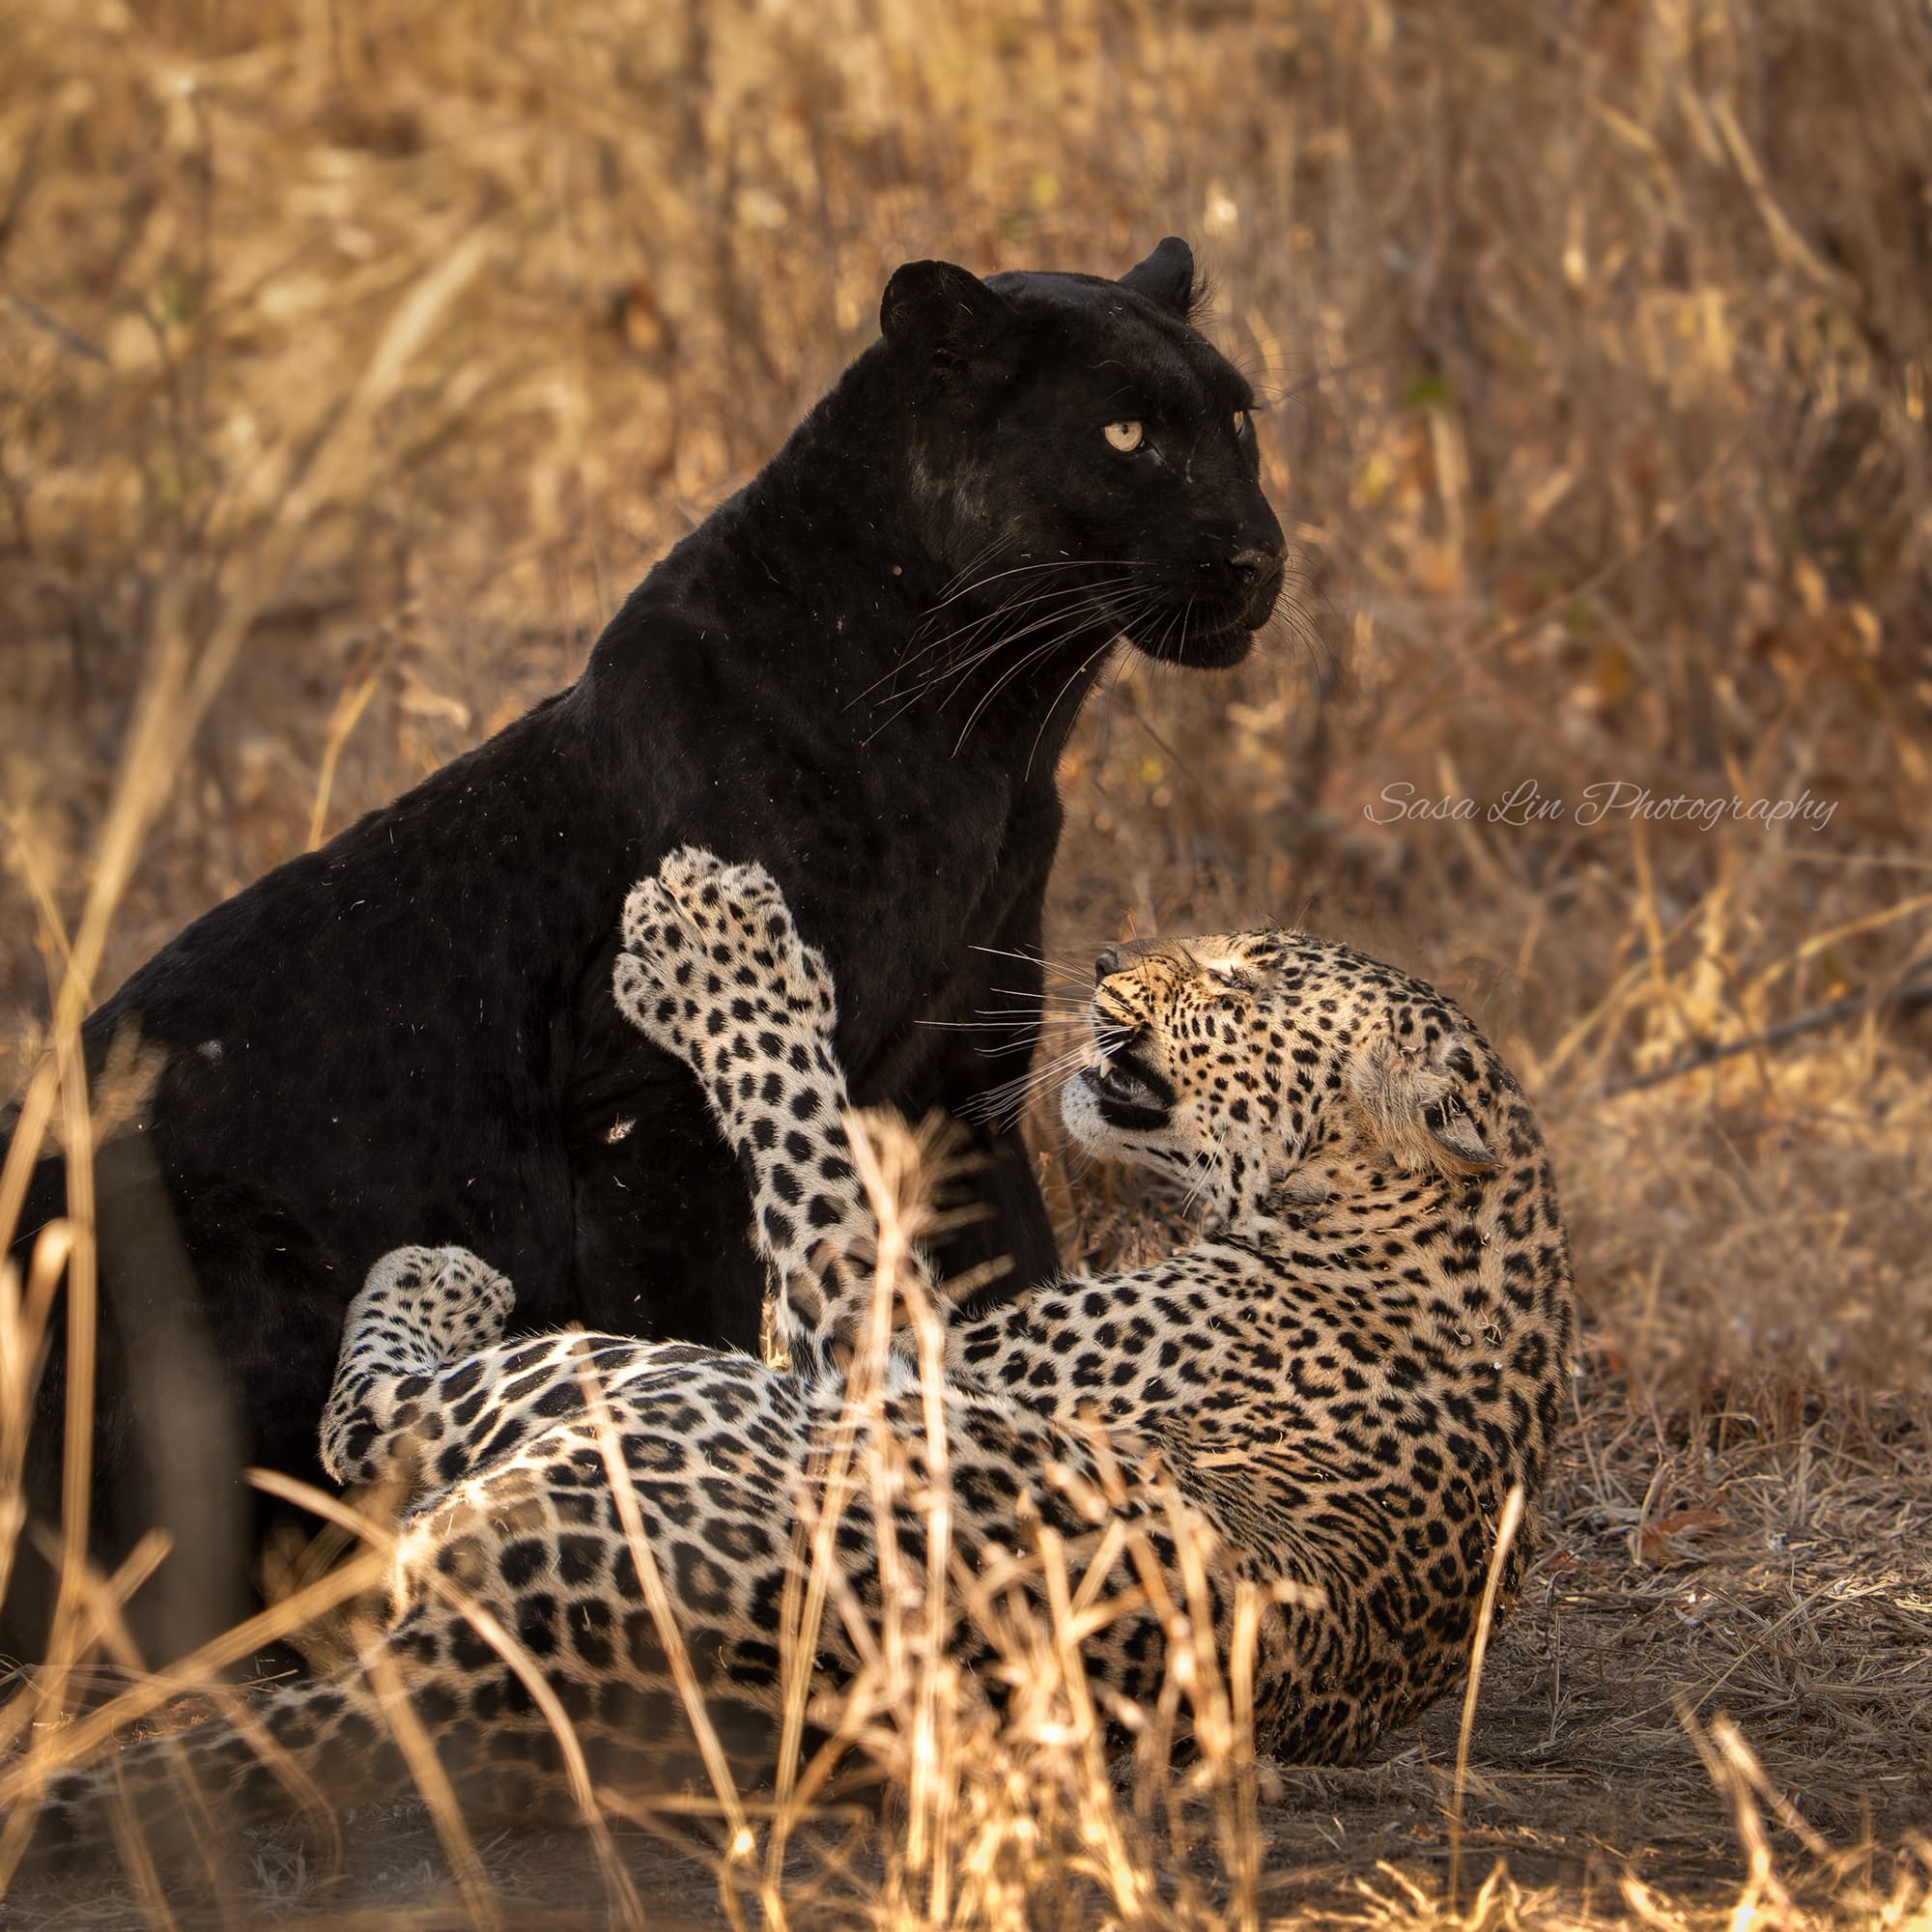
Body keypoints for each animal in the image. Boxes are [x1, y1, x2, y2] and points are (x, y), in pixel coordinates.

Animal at [15, 847, 1572, 1868]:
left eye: (1245, 980)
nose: (1108, 965)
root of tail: (517, 1653)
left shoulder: (909, 1354)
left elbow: (813, 1137)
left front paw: (717, 945)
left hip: (698, 1396)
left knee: (378, 1422)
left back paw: (438, 1278)